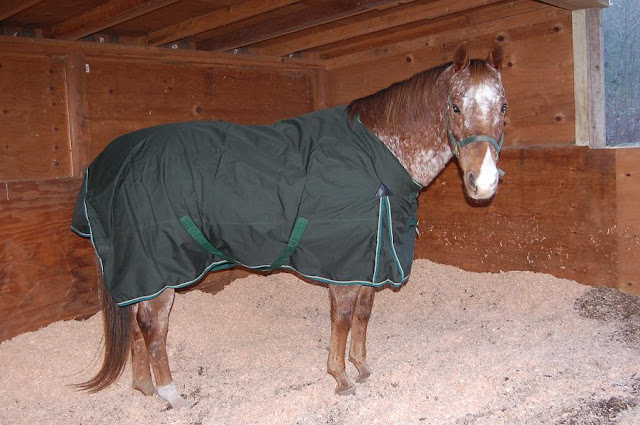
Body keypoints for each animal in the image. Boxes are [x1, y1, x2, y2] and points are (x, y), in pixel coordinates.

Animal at [73, 42, 507, 409]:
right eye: (455, 107)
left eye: (502, 106)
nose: (483, 182)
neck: (377, 158)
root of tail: (111, 162)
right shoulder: (344, 264)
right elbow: (344, 317)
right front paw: (340, 378)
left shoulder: (371, 255)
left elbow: (364, 314)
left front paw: (362, 368)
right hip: (158, 265)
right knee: (153, 324)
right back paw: (171, 394)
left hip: (143, 271)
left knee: (136, 321)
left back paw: (145, 389)